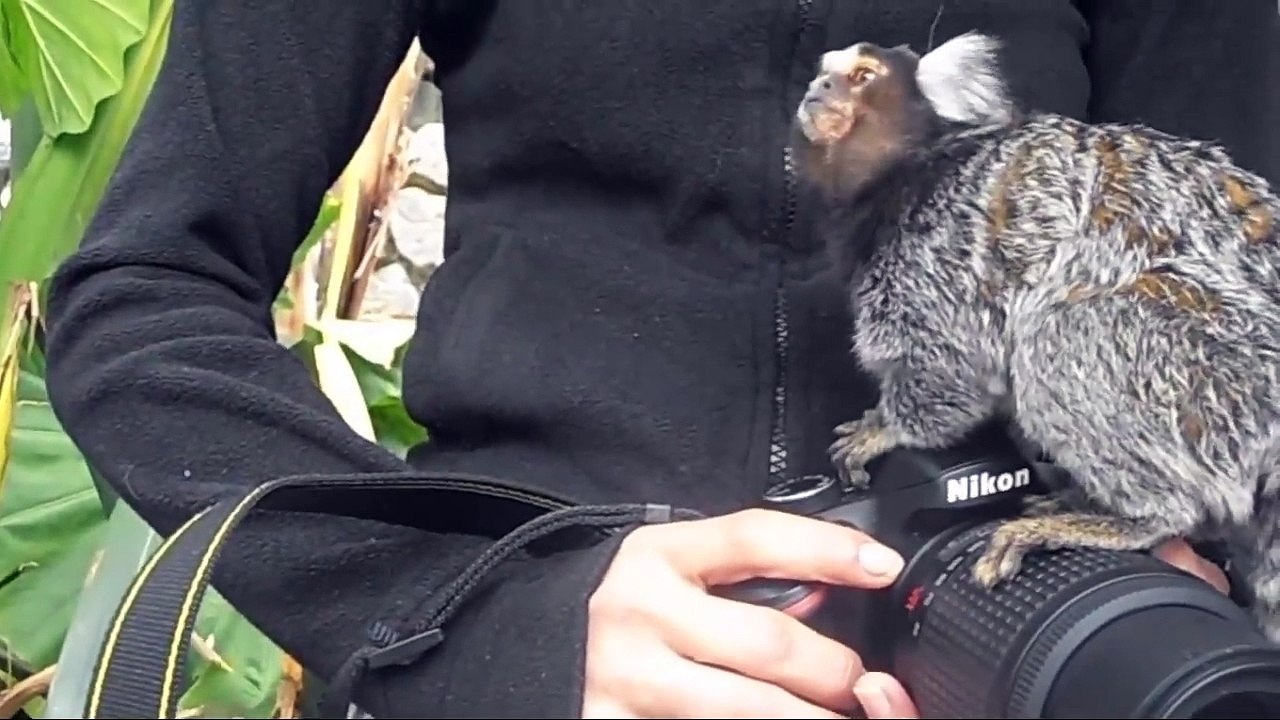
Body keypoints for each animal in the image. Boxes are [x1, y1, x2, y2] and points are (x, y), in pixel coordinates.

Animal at [791, 31, 1280, 639]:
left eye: (860, 77)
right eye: (822, 72)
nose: (818, 88)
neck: (911, 170)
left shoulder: (939, 247)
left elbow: (948, 370)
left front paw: (887, 429)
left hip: (1210, 371)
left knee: (1063, 332)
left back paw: (1129, 518)